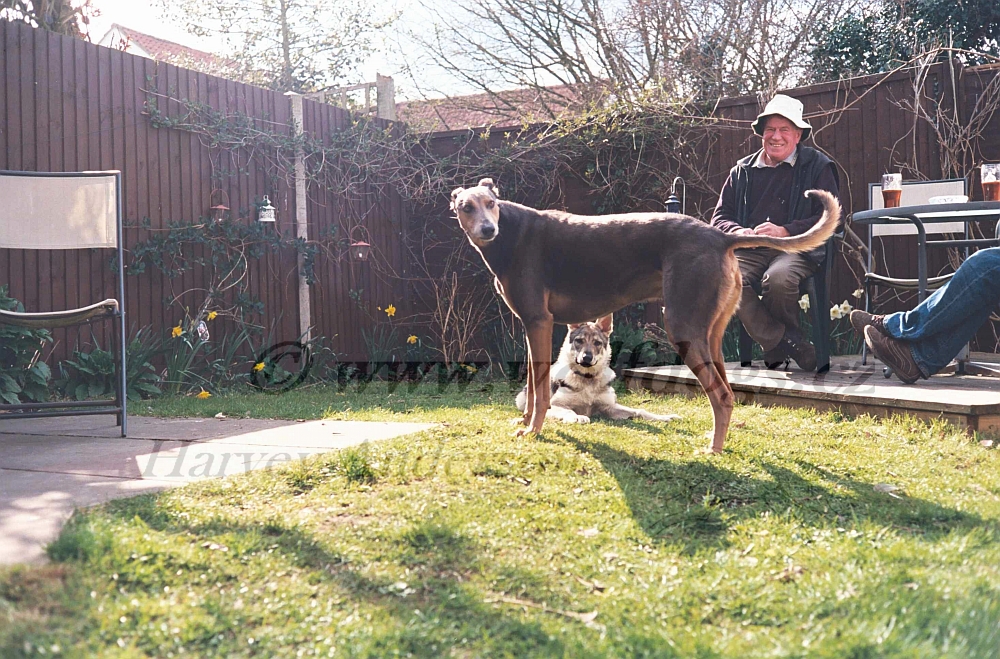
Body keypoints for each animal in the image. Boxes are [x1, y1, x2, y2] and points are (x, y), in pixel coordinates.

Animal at [516, 316, 680, 428]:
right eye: (579, 341)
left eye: (597, 343)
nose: (587, 358)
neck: (588, 379)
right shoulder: (554, 406)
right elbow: (569, 411)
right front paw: (578, 417)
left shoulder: (610, 407)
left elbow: (640, 410)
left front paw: (664, 417)